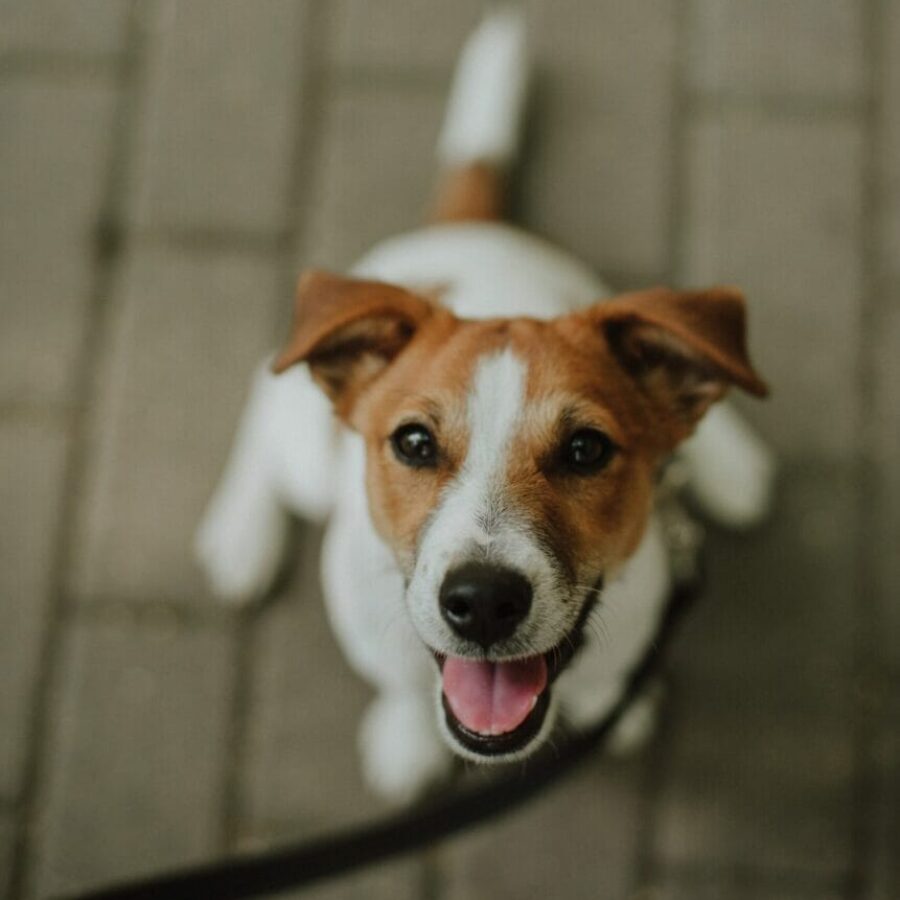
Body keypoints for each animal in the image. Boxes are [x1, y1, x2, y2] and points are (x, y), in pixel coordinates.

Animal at [195, 8, 772, 800]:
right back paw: (241, 534)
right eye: (413, 443)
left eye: (586, 449)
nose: (484, 602)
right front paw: (405, 738)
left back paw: (732, 463)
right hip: (304, 445)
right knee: (262, 386)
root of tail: (465, 226)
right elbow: (401, 687)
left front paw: (617, 705)